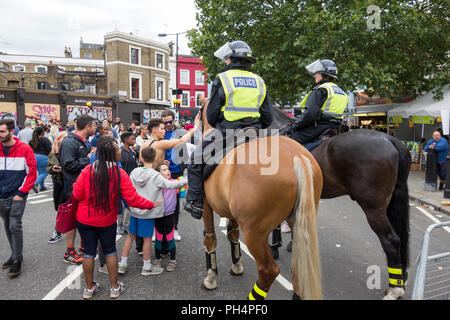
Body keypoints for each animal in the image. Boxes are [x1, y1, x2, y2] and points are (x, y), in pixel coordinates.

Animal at [197, 102, 324, 300]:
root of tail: (297, 157)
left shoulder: (205, 204)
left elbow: (210, 238)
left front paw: (210, 277)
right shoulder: (231, 212)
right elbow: (232, 234)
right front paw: (237, 265)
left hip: (254, 233)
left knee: (268, 270)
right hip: (298, 224)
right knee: (298, 272)